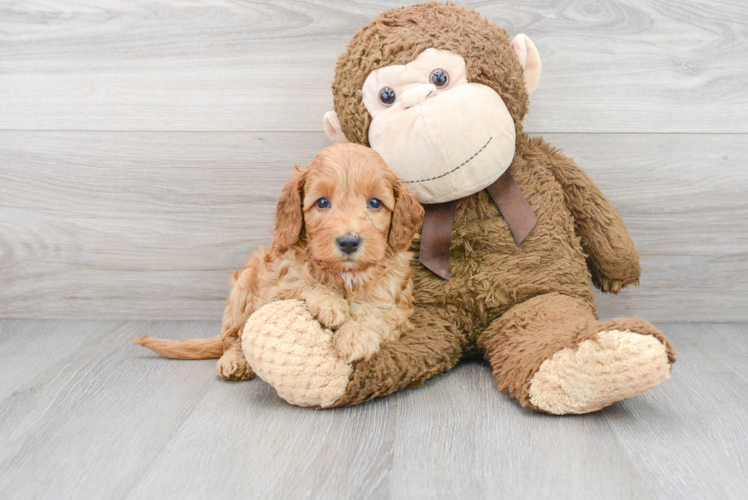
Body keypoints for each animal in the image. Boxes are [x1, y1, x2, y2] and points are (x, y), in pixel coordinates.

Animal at [132, 141, 424, 378]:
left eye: (375, 203)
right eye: (322, 203)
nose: (349, 242)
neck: (343, 274)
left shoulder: (396, 305)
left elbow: (374, 312)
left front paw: (355, 335)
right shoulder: (272, 290)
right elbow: (305, 285)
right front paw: (332, 304)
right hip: (242, 288)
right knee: (233, 338)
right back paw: (234, 361)